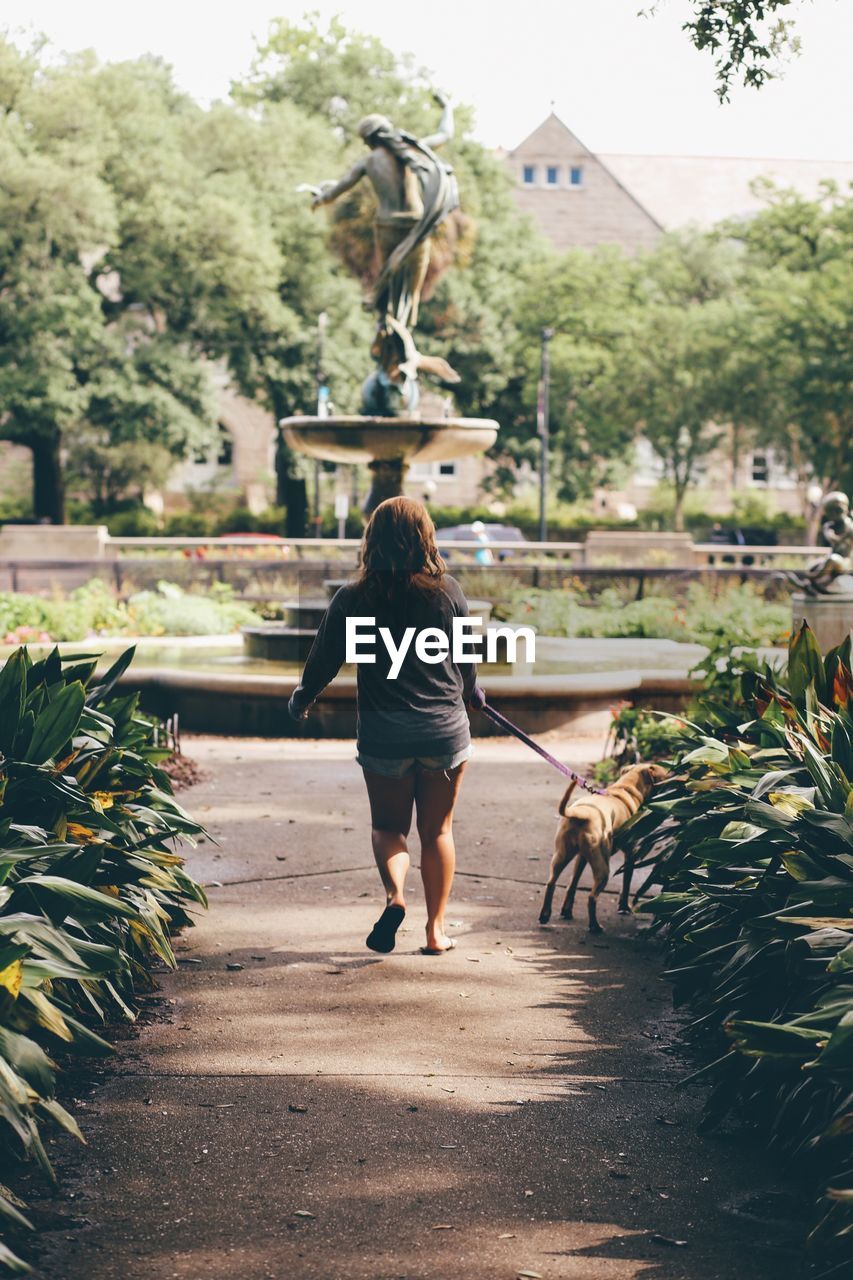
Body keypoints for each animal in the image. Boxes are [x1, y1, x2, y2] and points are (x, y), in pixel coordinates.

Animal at [537, 757, 666, 931]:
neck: (626, 788)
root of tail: (582, 813)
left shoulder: (582, 857)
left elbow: (573, 884)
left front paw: (566, 910)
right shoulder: (631, 853)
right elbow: (626, 882)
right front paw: (624, 907)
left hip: (561, 855)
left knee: (551, 883)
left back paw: (545, 915)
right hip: (603, 868)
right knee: (592, 897)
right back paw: (595, 927)